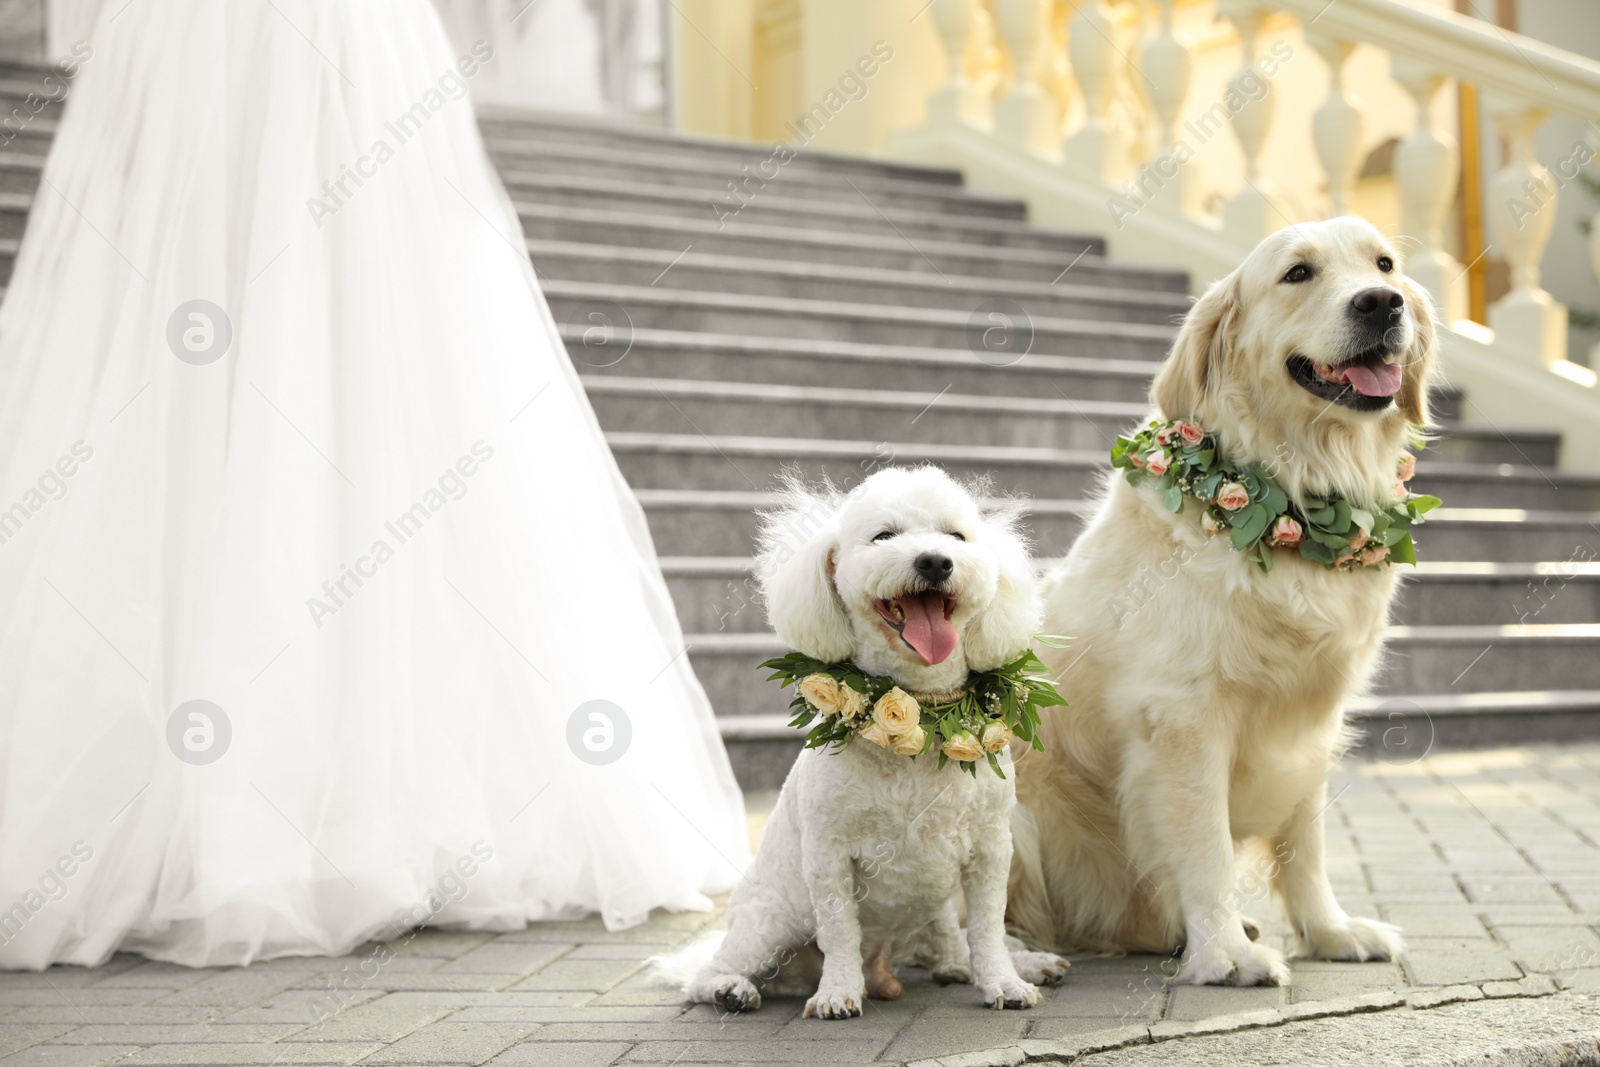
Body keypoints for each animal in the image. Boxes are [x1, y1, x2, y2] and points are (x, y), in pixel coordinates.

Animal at [684, 463, 1068, 1017]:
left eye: (957, 536)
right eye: (883, 536)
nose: (935, 561)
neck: (920, 723)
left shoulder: (992, 846)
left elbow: (988, 928)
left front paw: (1005, 982)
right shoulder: (828, 854)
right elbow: (840, 930)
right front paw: (837, 993)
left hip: (934, 909)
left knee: (954, 948)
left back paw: (1021, 963)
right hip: (772, 920)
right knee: (708, 971)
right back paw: (731, 989)